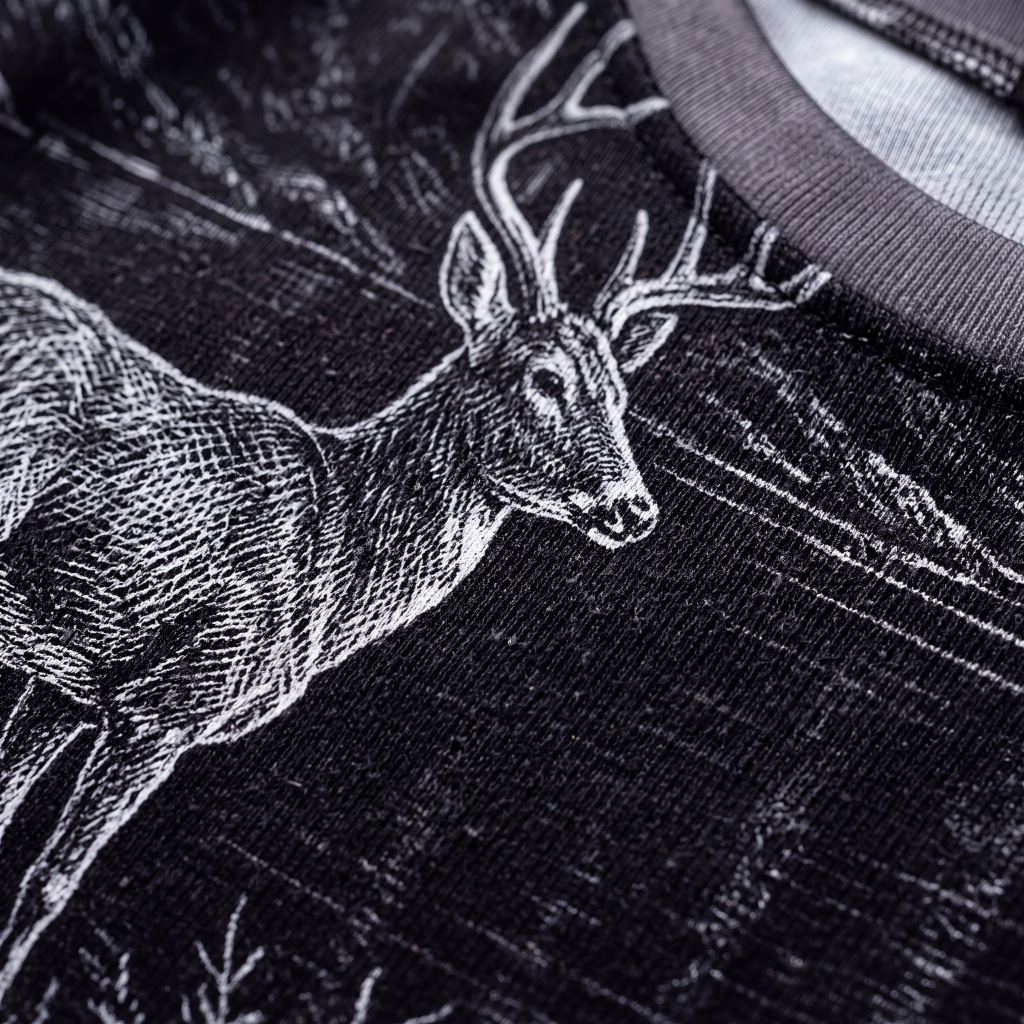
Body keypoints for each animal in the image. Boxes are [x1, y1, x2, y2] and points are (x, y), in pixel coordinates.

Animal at [0, 1, 829, 999]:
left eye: (623, 395)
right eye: (543, 378)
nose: (634, 508)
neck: (332, 553)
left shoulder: (68, 686)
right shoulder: (170, 700)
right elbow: (48, 883)